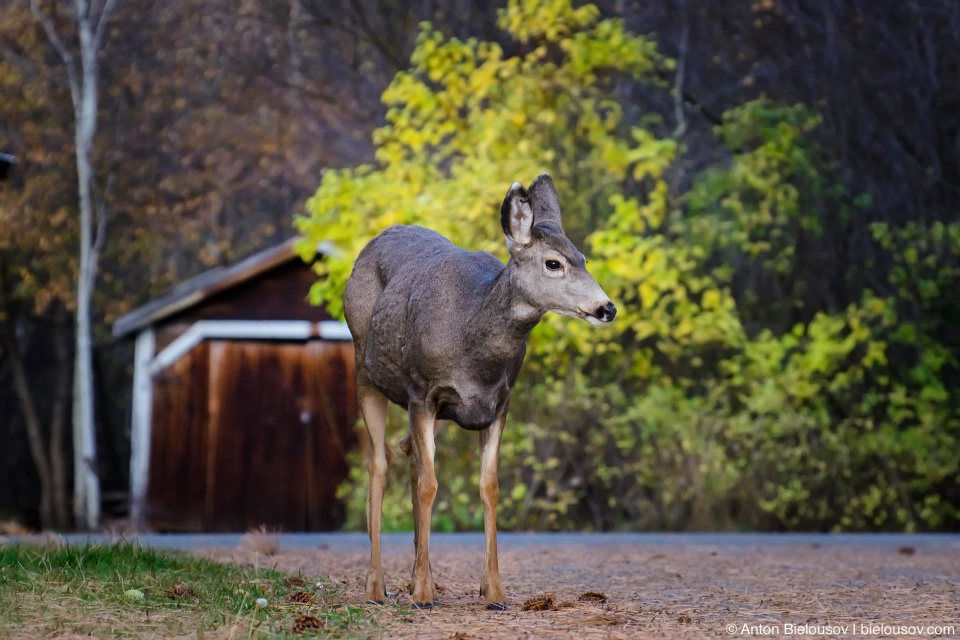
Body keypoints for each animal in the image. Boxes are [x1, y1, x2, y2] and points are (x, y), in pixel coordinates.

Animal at [344, 171, 616, 608]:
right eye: (553, 263)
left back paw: (419, 577)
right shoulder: (422, 391)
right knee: (380, 464)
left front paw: (494, 591)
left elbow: (489, 487)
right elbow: (430, 486)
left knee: (408, 453)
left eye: (584, 259)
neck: (472, 343)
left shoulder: (499, 403)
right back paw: (377, 587)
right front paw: (423, 595)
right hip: (364, 368)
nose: (607, 308)